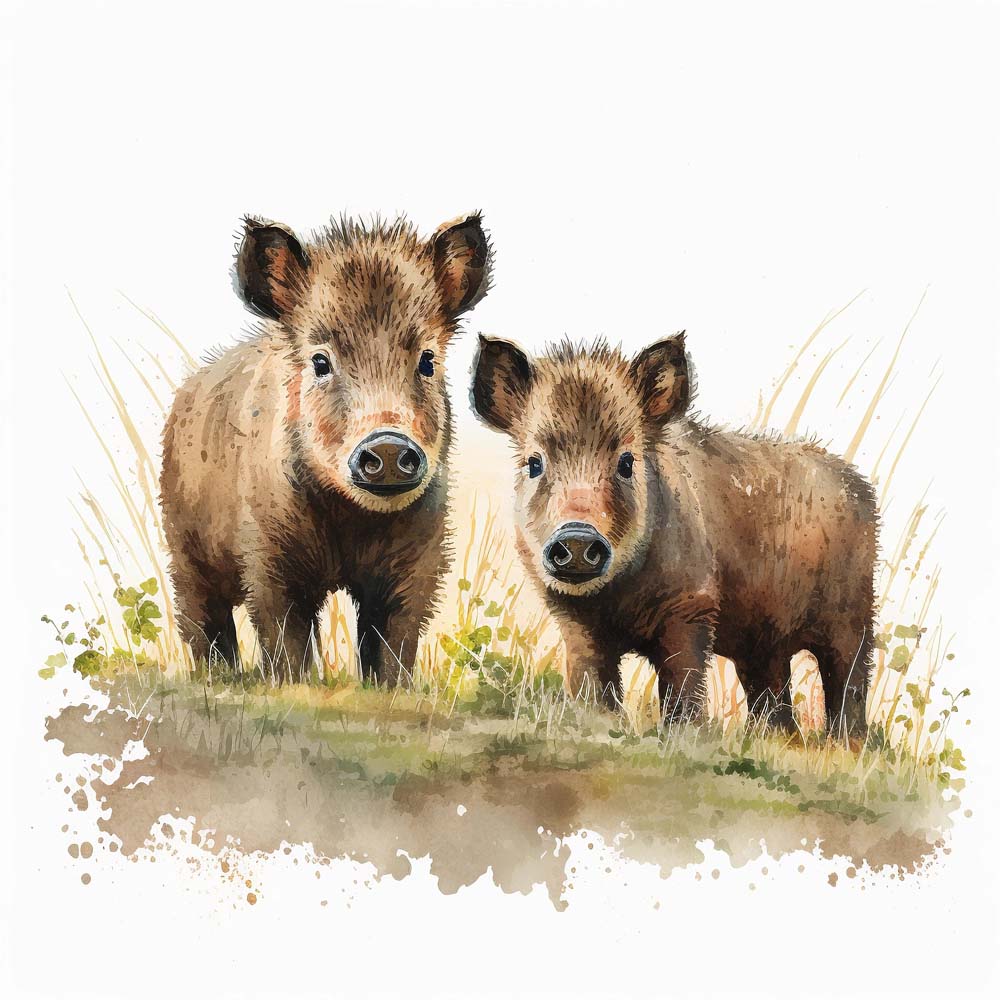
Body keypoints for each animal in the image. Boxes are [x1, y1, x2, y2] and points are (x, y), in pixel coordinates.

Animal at [160, 212, 492, 682]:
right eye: (321, 361)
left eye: (427, 360)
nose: (388, 446)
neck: (350, 523)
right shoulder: (267, 557)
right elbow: (287, 639)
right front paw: (294, 685)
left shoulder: (421, 561)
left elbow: (393, 644)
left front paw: (389, 690)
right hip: (183, 550)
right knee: (202, 620)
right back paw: (219, 678)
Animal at [472, 333, 877, 732]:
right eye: (534, 463)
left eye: (626, 462)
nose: (577, 536)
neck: (619, 600)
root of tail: (860, 486)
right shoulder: (577, 623)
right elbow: (592, 688)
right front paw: (600, 725)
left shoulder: (692, 606)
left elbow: (682, 686)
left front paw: (684, 733)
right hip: (764, 641)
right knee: (773, 694)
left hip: (853, 620)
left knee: (849, 683)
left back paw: (845, 741)